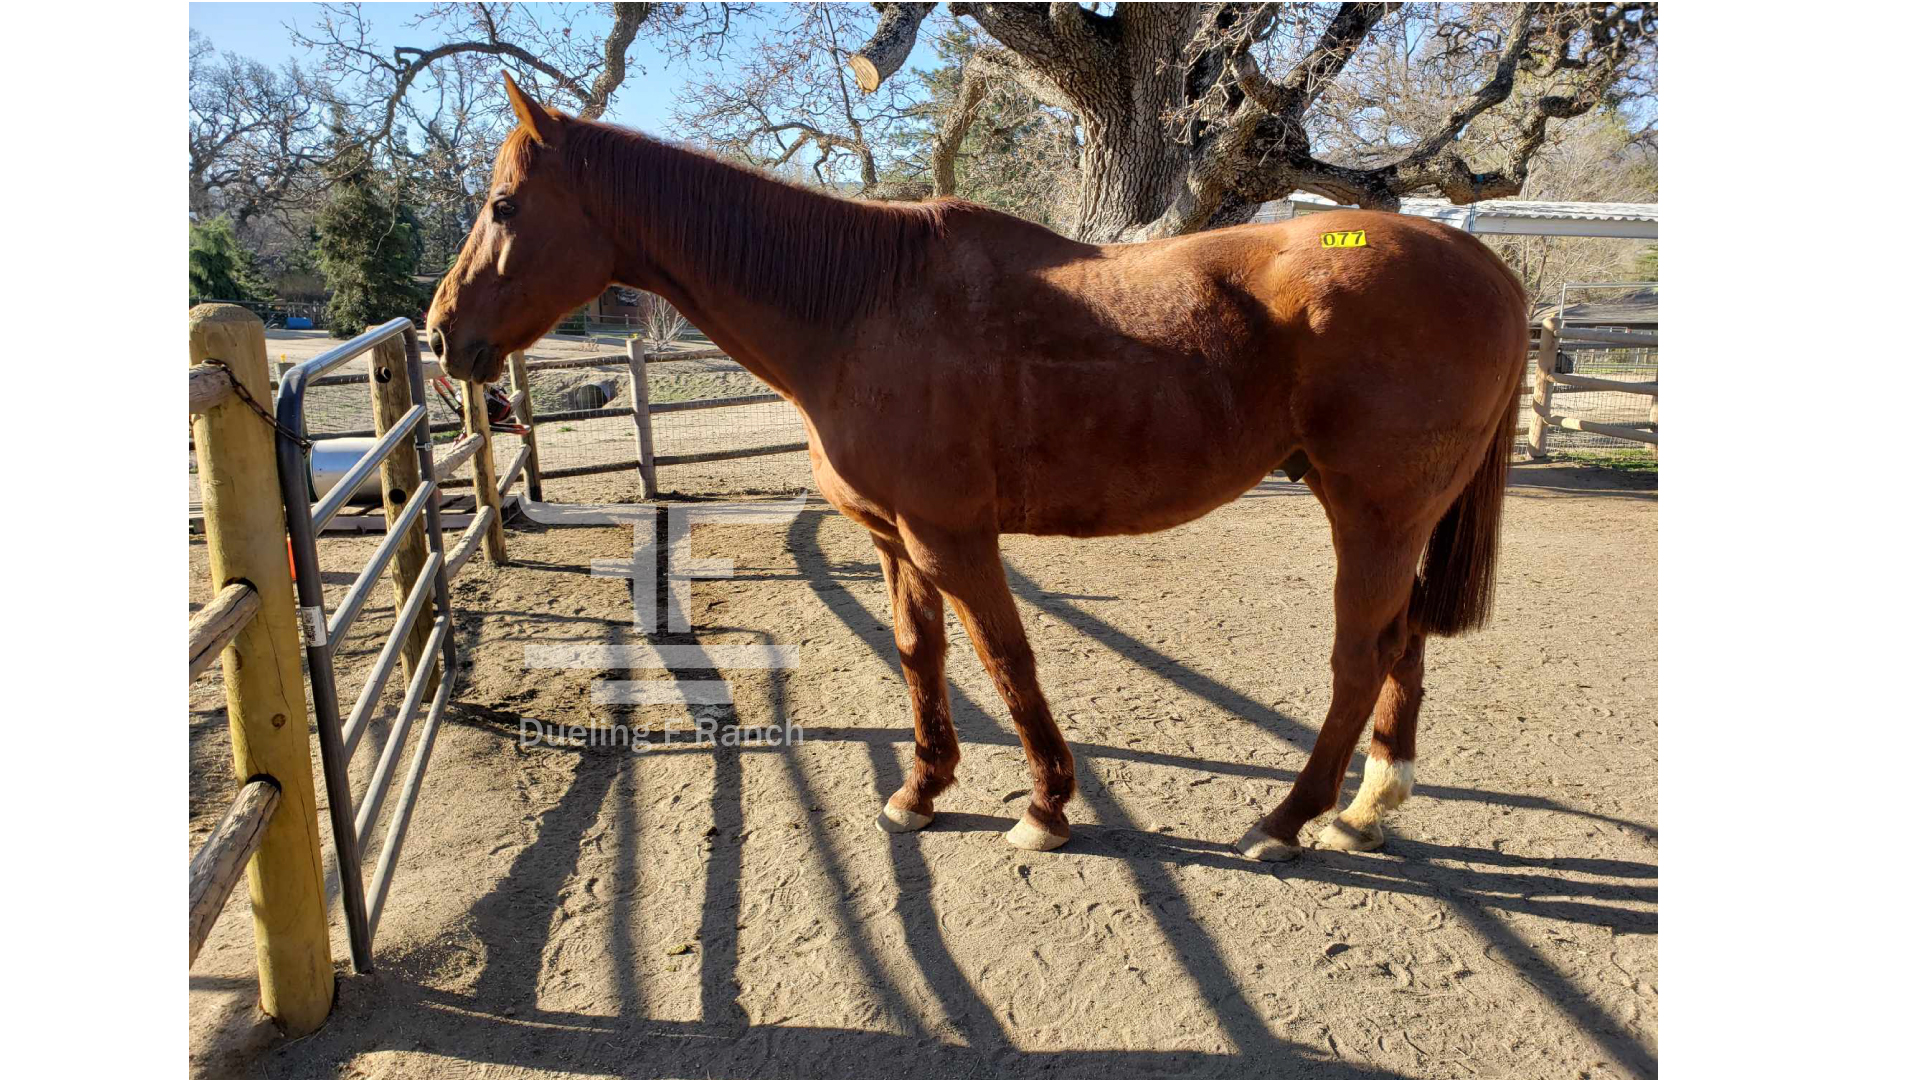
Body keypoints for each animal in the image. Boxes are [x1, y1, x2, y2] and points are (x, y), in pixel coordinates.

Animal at [428, 74, 1528, 861]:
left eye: (505, 205)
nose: (442, 337)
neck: (859, 305)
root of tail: (1487, 269)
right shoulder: (895, 538)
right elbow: (924, 655)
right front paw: (921, 789)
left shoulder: (953, 535)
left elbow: (1008, 658)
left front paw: (1045, 806)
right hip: (1387, 517)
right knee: (1402, 644)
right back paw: (1368, 808)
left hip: (1374, 514)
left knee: (1360, 657)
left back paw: (1287, 821)